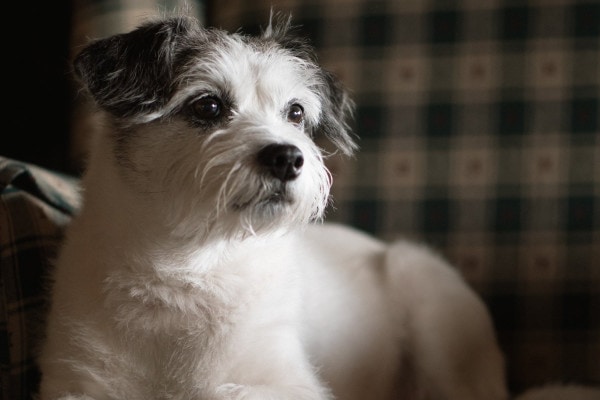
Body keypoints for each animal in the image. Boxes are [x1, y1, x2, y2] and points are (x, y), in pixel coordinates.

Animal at [36, 12, 596, 400]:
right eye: (208, 106)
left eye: (296, 113)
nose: (288, 157)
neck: (187, 269)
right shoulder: (73, 381)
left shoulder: (284, 382)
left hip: (429, 297)